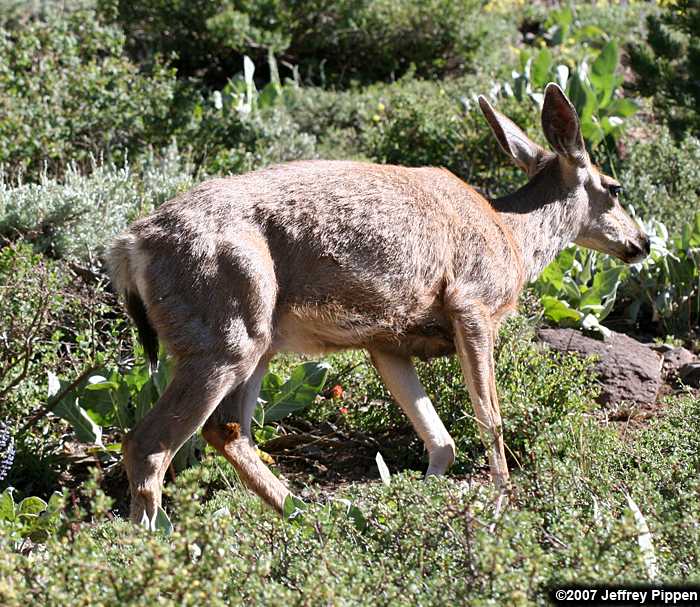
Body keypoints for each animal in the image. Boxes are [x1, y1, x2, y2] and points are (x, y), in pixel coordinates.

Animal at [107, 83, 649, 528]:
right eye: (614, 187)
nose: (641, 243)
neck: (513, 238)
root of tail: (129, 247)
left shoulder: (386, 341)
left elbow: (441, 440)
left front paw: (421, 500)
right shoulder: (471, 304)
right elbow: (489, 418)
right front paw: (501, 504)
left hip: (257, 343)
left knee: (227, 430)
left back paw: (308, 518)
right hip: (223, 335)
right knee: (148, 443)